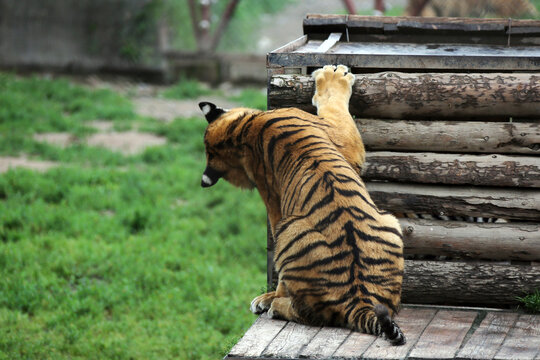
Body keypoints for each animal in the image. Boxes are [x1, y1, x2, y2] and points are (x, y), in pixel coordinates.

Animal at [198, 65, 404, 346]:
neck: (240, 132)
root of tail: (359, 303)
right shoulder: (341, 137)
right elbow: (335, 105)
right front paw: (333, 76)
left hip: (388, 223)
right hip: (292, 229)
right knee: (309, 313)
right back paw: (276, 306)